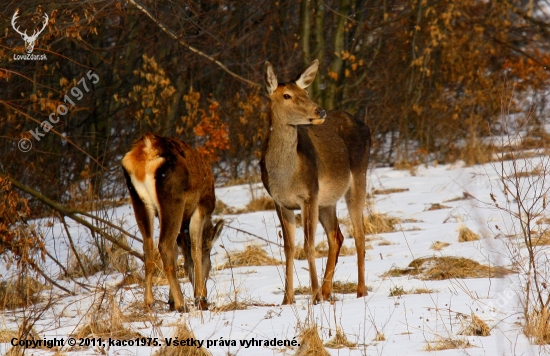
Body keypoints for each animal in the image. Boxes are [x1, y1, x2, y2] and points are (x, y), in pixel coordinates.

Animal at [122, 134, 223, 312]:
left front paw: (170, 300)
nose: (203, 296)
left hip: (139, 201)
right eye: (210, 264)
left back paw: (149, 301)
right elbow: (195, 250)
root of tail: (146, 151)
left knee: (148, 247)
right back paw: (182, 304)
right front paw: (199, 299)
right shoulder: (201, 207)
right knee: (164, 246)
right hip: (172, 198)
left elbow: (178, 251)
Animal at [260, 59, 374, 304]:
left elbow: (308, 245)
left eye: (305, 91)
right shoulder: (280, 202)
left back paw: (360, 291)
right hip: (327, 199)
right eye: (286, 95)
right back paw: (327, 290)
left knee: (359, 233)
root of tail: (365, 125)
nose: (319, 110)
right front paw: (288, 299)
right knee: (336, 235)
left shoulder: (309, 195)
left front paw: (314, 296)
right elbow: (289, 247)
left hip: (358, 176)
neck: (286, 177)